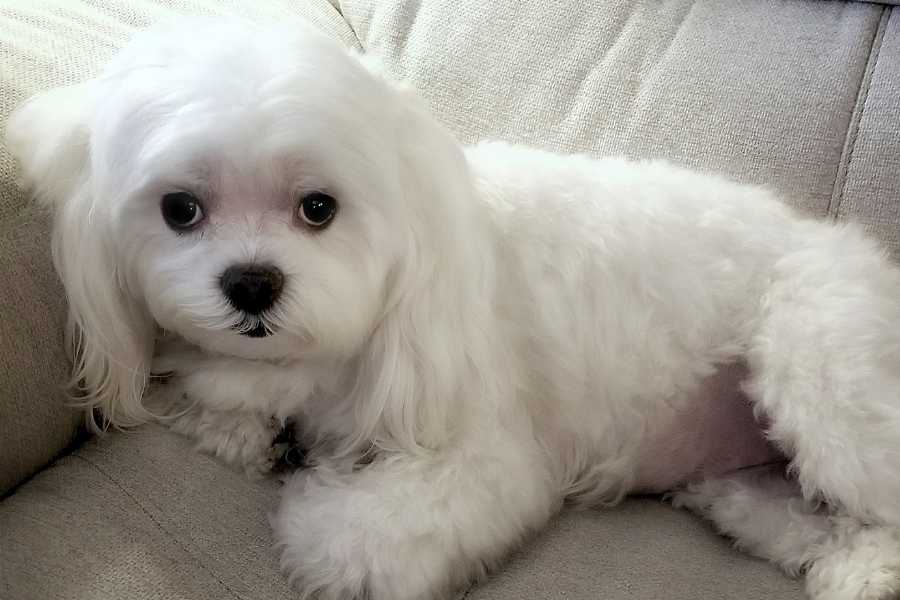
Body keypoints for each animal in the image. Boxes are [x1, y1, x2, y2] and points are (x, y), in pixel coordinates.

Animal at [10, 18, 900, 600]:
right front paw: (236, 422)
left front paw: (308, 497)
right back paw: (836, 560)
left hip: (818, 367)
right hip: (752, 467)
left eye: (318, 208)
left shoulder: (487, 457)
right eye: (180, 210)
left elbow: (346, 542)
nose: (251, 283)